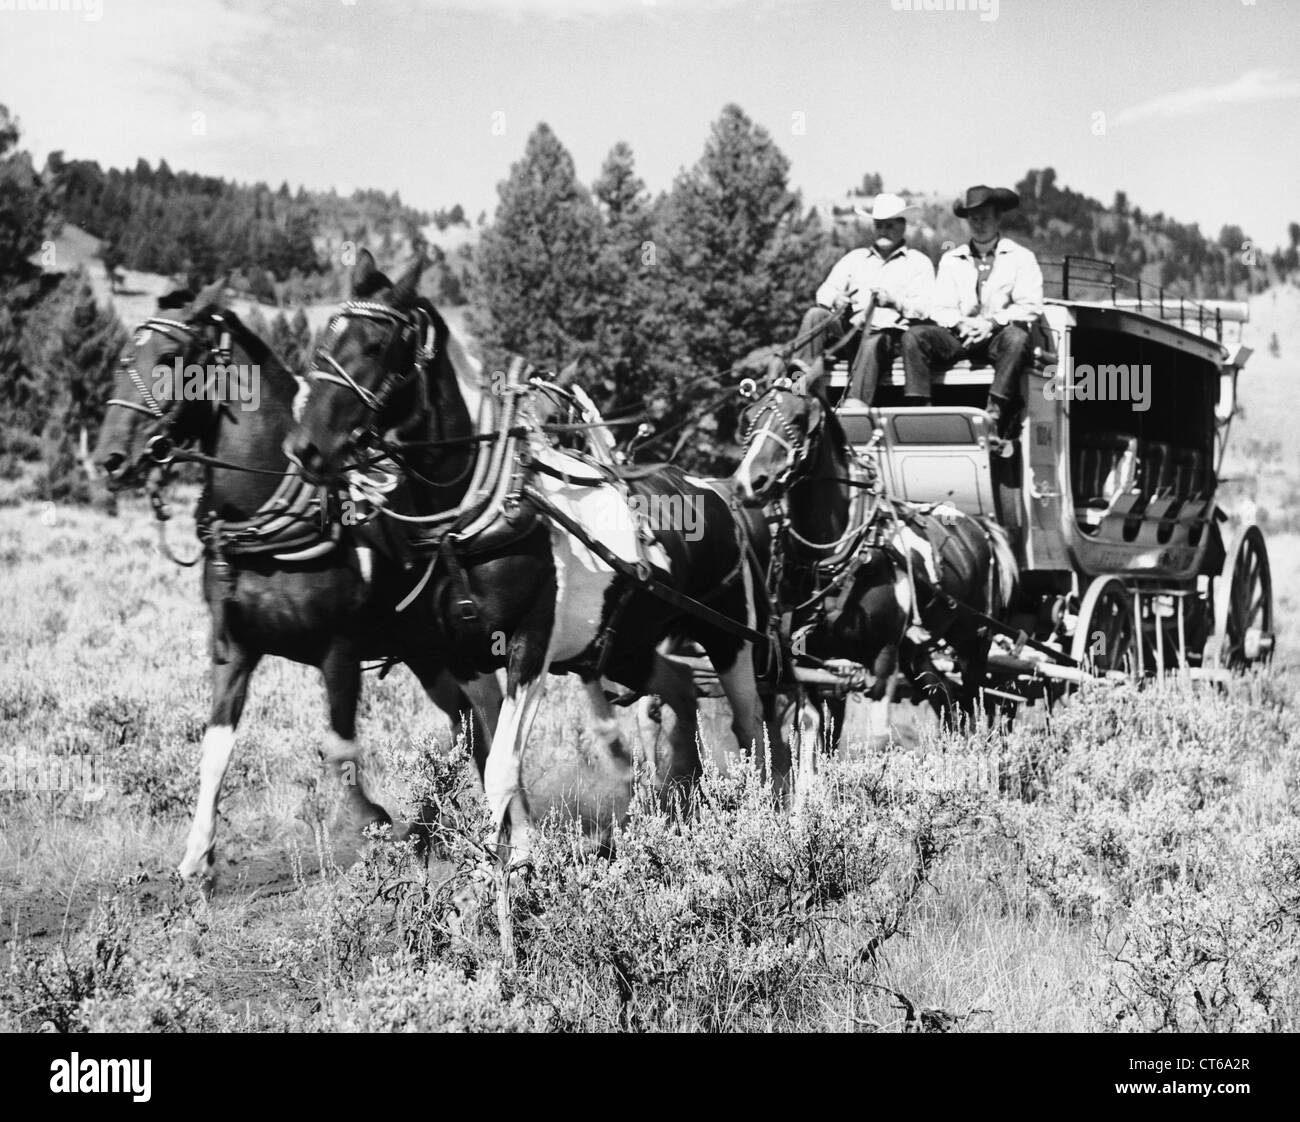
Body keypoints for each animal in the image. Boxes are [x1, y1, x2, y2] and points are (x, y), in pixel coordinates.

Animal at [94, 284, 499, 889]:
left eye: (169, 359)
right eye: (125, 358)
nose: (110, 459)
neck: (266, 511)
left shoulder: (340, 651)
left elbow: (339, 749)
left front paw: (373, 824)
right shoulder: (234, 650)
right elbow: (215, 747)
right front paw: (197, 857)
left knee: (484, 715)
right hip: (425, 654)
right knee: (464, 722)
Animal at [288, 254, 785, 868]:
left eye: (377, 345)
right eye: (324, 340)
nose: (306, 448)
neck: (477, 516)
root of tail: (721, 491)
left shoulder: (530, 646)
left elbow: (502, 762)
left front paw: (515, 865)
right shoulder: (468, 657)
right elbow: (492, 756)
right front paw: (519, 850)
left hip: (730, 636)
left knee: (752, 723)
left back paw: (762, 811)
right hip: (626, 646)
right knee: (681, 690)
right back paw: (678, 798)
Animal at [733, 369, 1013, 748]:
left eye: (798, 419)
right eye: (748, 417)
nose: (749, 483)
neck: (832, 559)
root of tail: (978, 525)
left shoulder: (882, 661)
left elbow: (878, 739)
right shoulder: (815, 668)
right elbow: (820, 739)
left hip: (973, 641)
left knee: (972, 703)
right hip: (916, 652)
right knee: (945, 701)